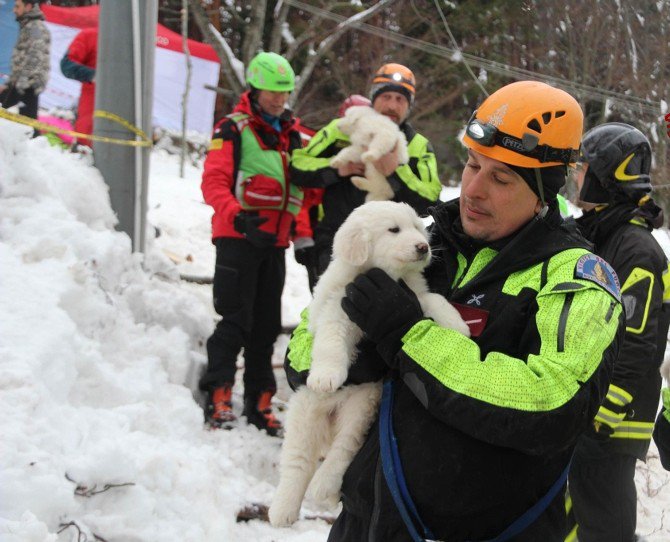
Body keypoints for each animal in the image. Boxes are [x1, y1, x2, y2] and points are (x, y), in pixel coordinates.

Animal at [270, 202, 472, 528]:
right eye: (394, 230)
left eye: (417, 227)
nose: (424, 246)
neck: (384, 276)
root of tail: (331, 415)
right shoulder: (337, 309)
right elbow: (330, 341)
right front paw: (326, 376)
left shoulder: (412, 295)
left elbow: (434, 300)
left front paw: (458, 326)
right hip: (305, 414)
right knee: (297, 463)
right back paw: (282, 511)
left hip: (361, 406)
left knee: (342, 450)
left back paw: (325, 488)